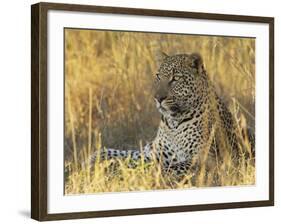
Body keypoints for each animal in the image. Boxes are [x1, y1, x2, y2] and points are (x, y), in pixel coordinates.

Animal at [91, 52, 252, 177]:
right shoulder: (156, 153)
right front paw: (96, 159)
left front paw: (128, 173)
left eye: (175, 79)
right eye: (158, 76)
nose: (157, 98)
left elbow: (164, 169)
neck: (173, 122)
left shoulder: (205, 159)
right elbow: (127, 154)